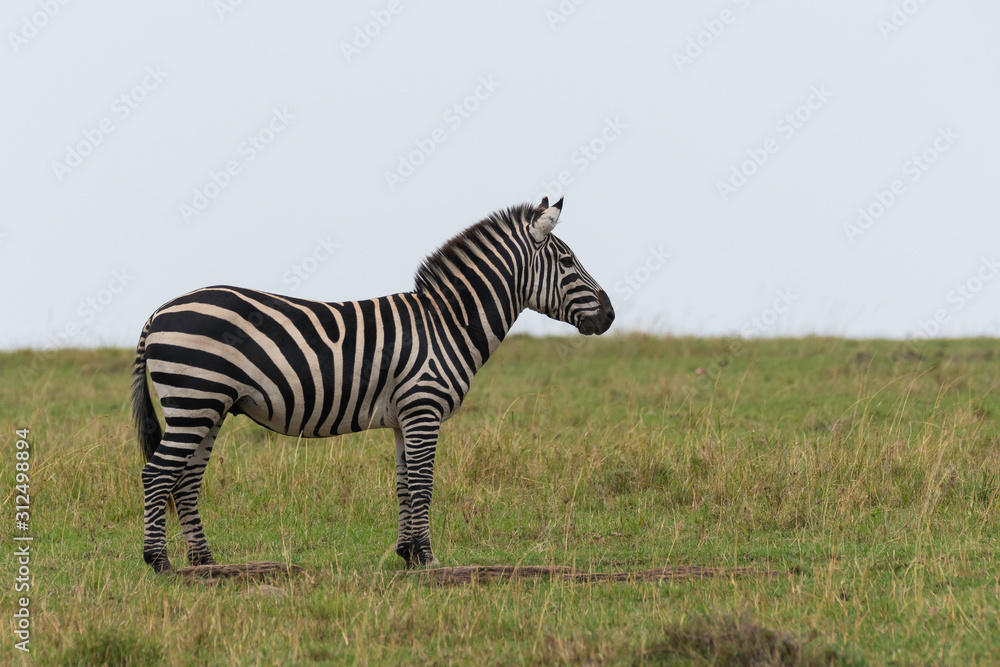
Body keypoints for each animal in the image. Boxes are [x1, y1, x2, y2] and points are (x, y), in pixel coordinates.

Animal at [131, 197, 615, 573]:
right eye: (568, 262)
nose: (610, 316)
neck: (447, 324)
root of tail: (158, 310)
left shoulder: (406, 417)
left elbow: (404, 483)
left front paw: (407, 554)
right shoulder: (424, 408)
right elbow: (424, 482)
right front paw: (429, 559)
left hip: (207, 407)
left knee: (186, 480)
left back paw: (206, 564)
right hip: (194, 400)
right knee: (157, 473)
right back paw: (160, 562)